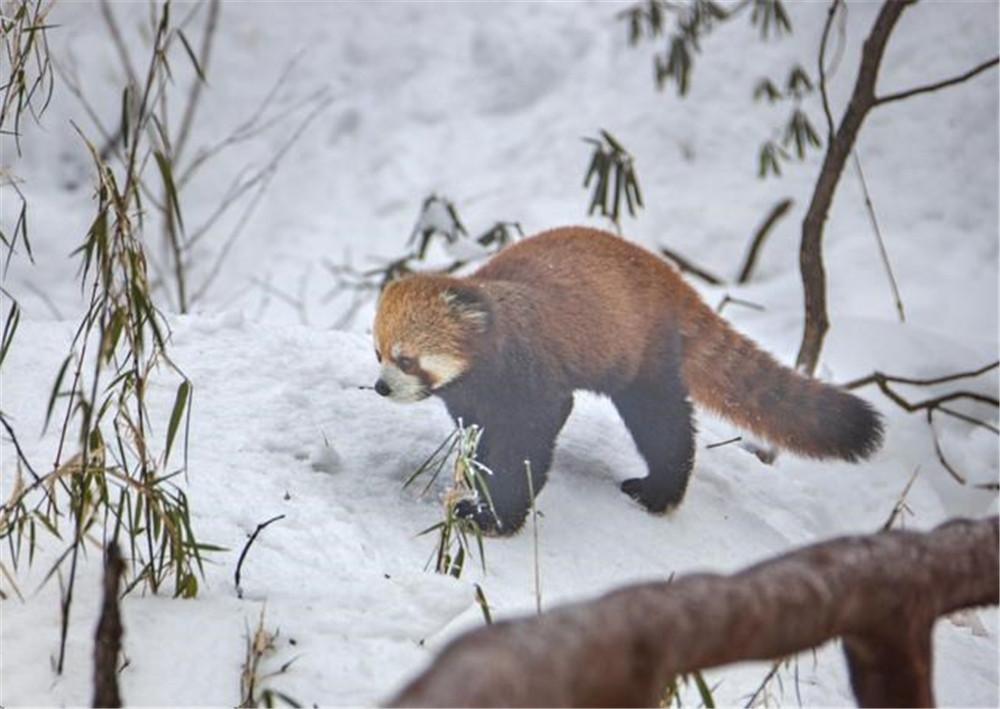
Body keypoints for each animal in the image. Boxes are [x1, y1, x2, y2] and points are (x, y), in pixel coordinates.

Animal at [376, 224, 884, 532]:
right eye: (378, 353)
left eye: (406, 359)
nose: (381, 387)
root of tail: (672, 276)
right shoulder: (470, 398)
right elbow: (480, 436)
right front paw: (474, 482)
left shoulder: (532, 375)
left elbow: (529, 439)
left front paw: (494, 514)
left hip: (641, 353)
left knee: (663, 423)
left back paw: (660, 490)